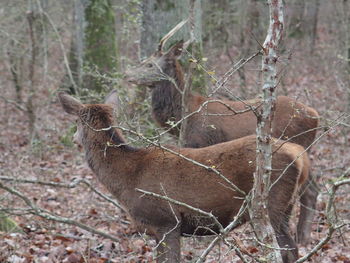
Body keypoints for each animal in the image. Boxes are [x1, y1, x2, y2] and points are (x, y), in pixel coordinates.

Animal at [58, 92, 310, 262]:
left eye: (76, 122)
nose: (72, 139)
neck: (127, 177)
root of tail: (301, 157)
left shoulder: (166, 221)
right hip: (286, 206)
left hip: (272, 203)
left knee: (286, 251)